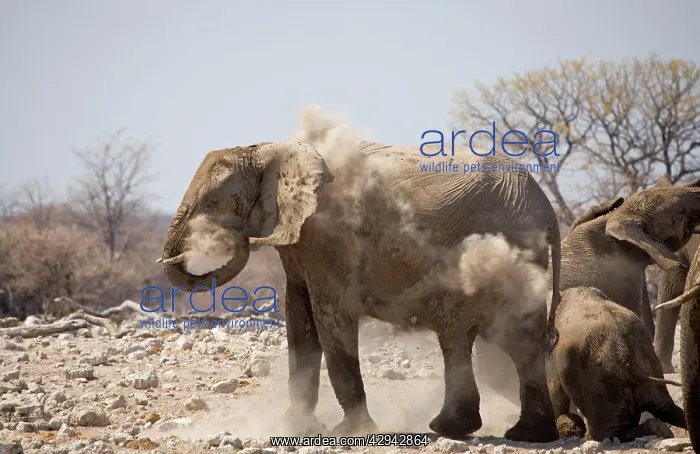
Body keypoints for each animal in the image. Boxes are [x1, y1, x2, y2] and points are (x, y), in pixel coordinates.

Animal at [157, 137, 564, 442]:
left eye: (212, 203)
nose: (233, 239)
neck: (272, 150)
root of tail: (548, 211)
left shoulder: (327, 238)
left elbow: (330, 317)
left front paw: (350, 432)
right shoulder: (301, 246)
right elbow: (299, 323)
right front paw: (299, 428)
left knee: (469, 331)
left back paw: (463, 430)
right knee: (496, 338)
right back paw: (519, 435)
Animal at [549, 286, 686, 442]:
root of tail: (627, 358)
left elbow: (556, 391)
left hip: (602, 382)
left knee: (606, 432)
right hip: (649, 365)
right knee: (665, 408)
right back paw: (663, 429)